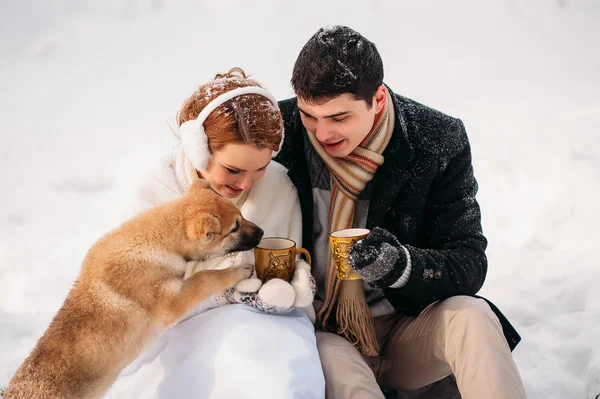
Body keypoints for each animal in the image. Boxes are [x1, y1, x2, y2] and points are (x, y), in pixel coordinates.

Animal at [4, 180, 262, 399]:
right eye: (235, 227)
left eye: (241, 216)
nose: (261, 232)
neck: (157, 241)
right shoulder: (169, 306)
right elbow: (204, 277)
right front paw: (238, 271)